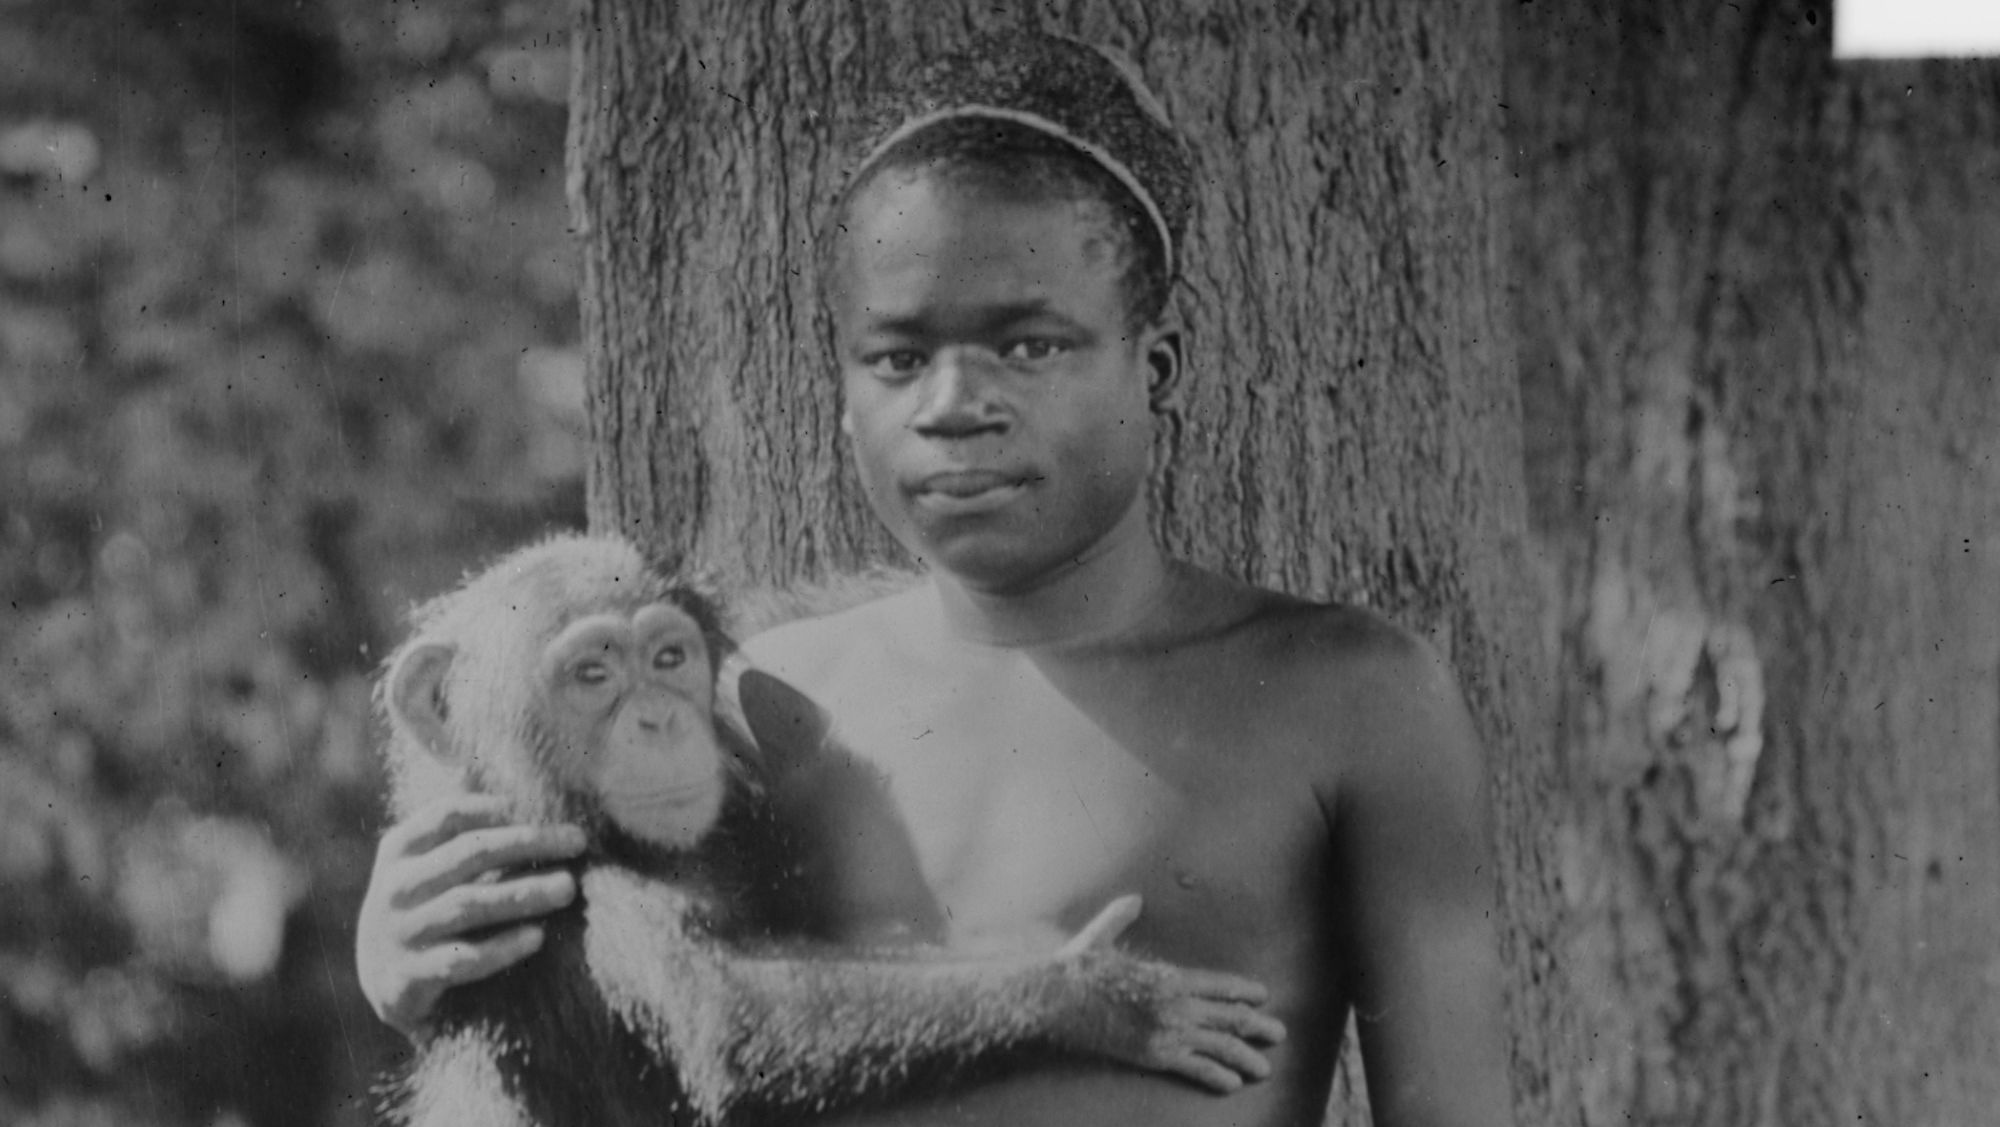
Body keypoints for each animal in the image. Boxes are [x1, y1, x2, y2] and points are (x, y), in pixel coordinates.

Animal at [373, 533, 1286, 1127]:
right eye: (592, 674)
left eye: (667, 658)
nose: (658, 718)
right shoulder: (567, 887)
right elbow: (727, 1013)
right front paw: (1103, 991)